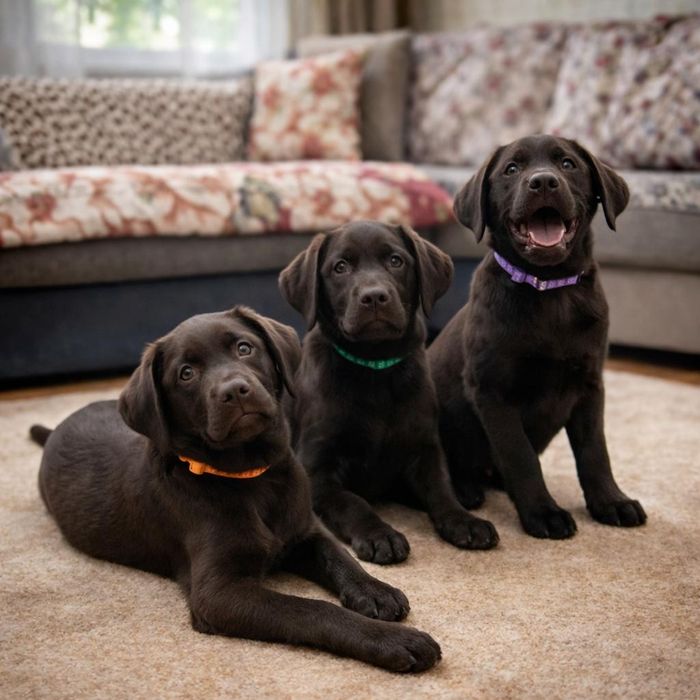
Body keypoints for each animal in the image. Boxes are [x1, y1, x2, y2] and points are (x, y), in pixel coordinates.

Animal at [31, 306, 441, 672]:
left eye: (245, 348)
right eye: (186, 373)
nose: (235, 391)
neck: (252, 477)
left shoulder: (304, 531)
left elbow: (339, 557)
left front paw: (375, 590)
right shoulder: (219, 594)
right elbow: (311, 609)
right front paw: (396, 641)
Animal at [279, 221, 499, 565]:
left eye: (396, 261)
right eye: (340, 267)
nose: (374, 297)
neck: (375, 369)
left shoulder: (424, 448)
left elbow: (441, 489)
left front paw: (464, 521)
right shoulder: (315, 471)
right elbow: (353, 502)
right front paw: (379, 535)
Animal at [428, 135, 647, 539]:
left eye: (567, 164)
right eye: (511, 169)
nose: (543, 182)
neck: (548, 289)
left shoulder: (590, 384)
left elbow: (595, 450)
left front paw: (611, 502)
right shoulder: (492, 390)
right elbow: (521, 456)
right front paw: (543, 513)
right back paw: (465, 491)